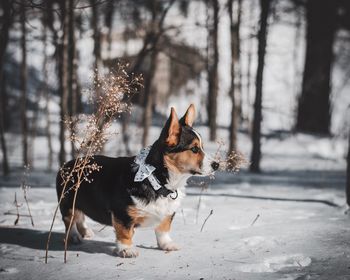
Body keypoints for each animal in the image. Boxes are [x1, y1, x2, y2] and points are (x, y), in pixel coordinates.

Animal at [56, 104, 220, 258]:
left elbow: (163, 229)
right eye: (194, 149)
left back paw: (86, 232)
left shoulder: (167, 214)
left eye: (202, 147)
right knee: (70, 220)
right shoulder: (122, 214)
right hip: (67, 203)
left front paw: (167, 245)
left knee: (80, 216)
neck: (155, 180)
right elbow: (125, 233)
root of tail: (66, 165)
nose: (217, 165)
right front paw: (127, 250)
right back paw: (74, 237)